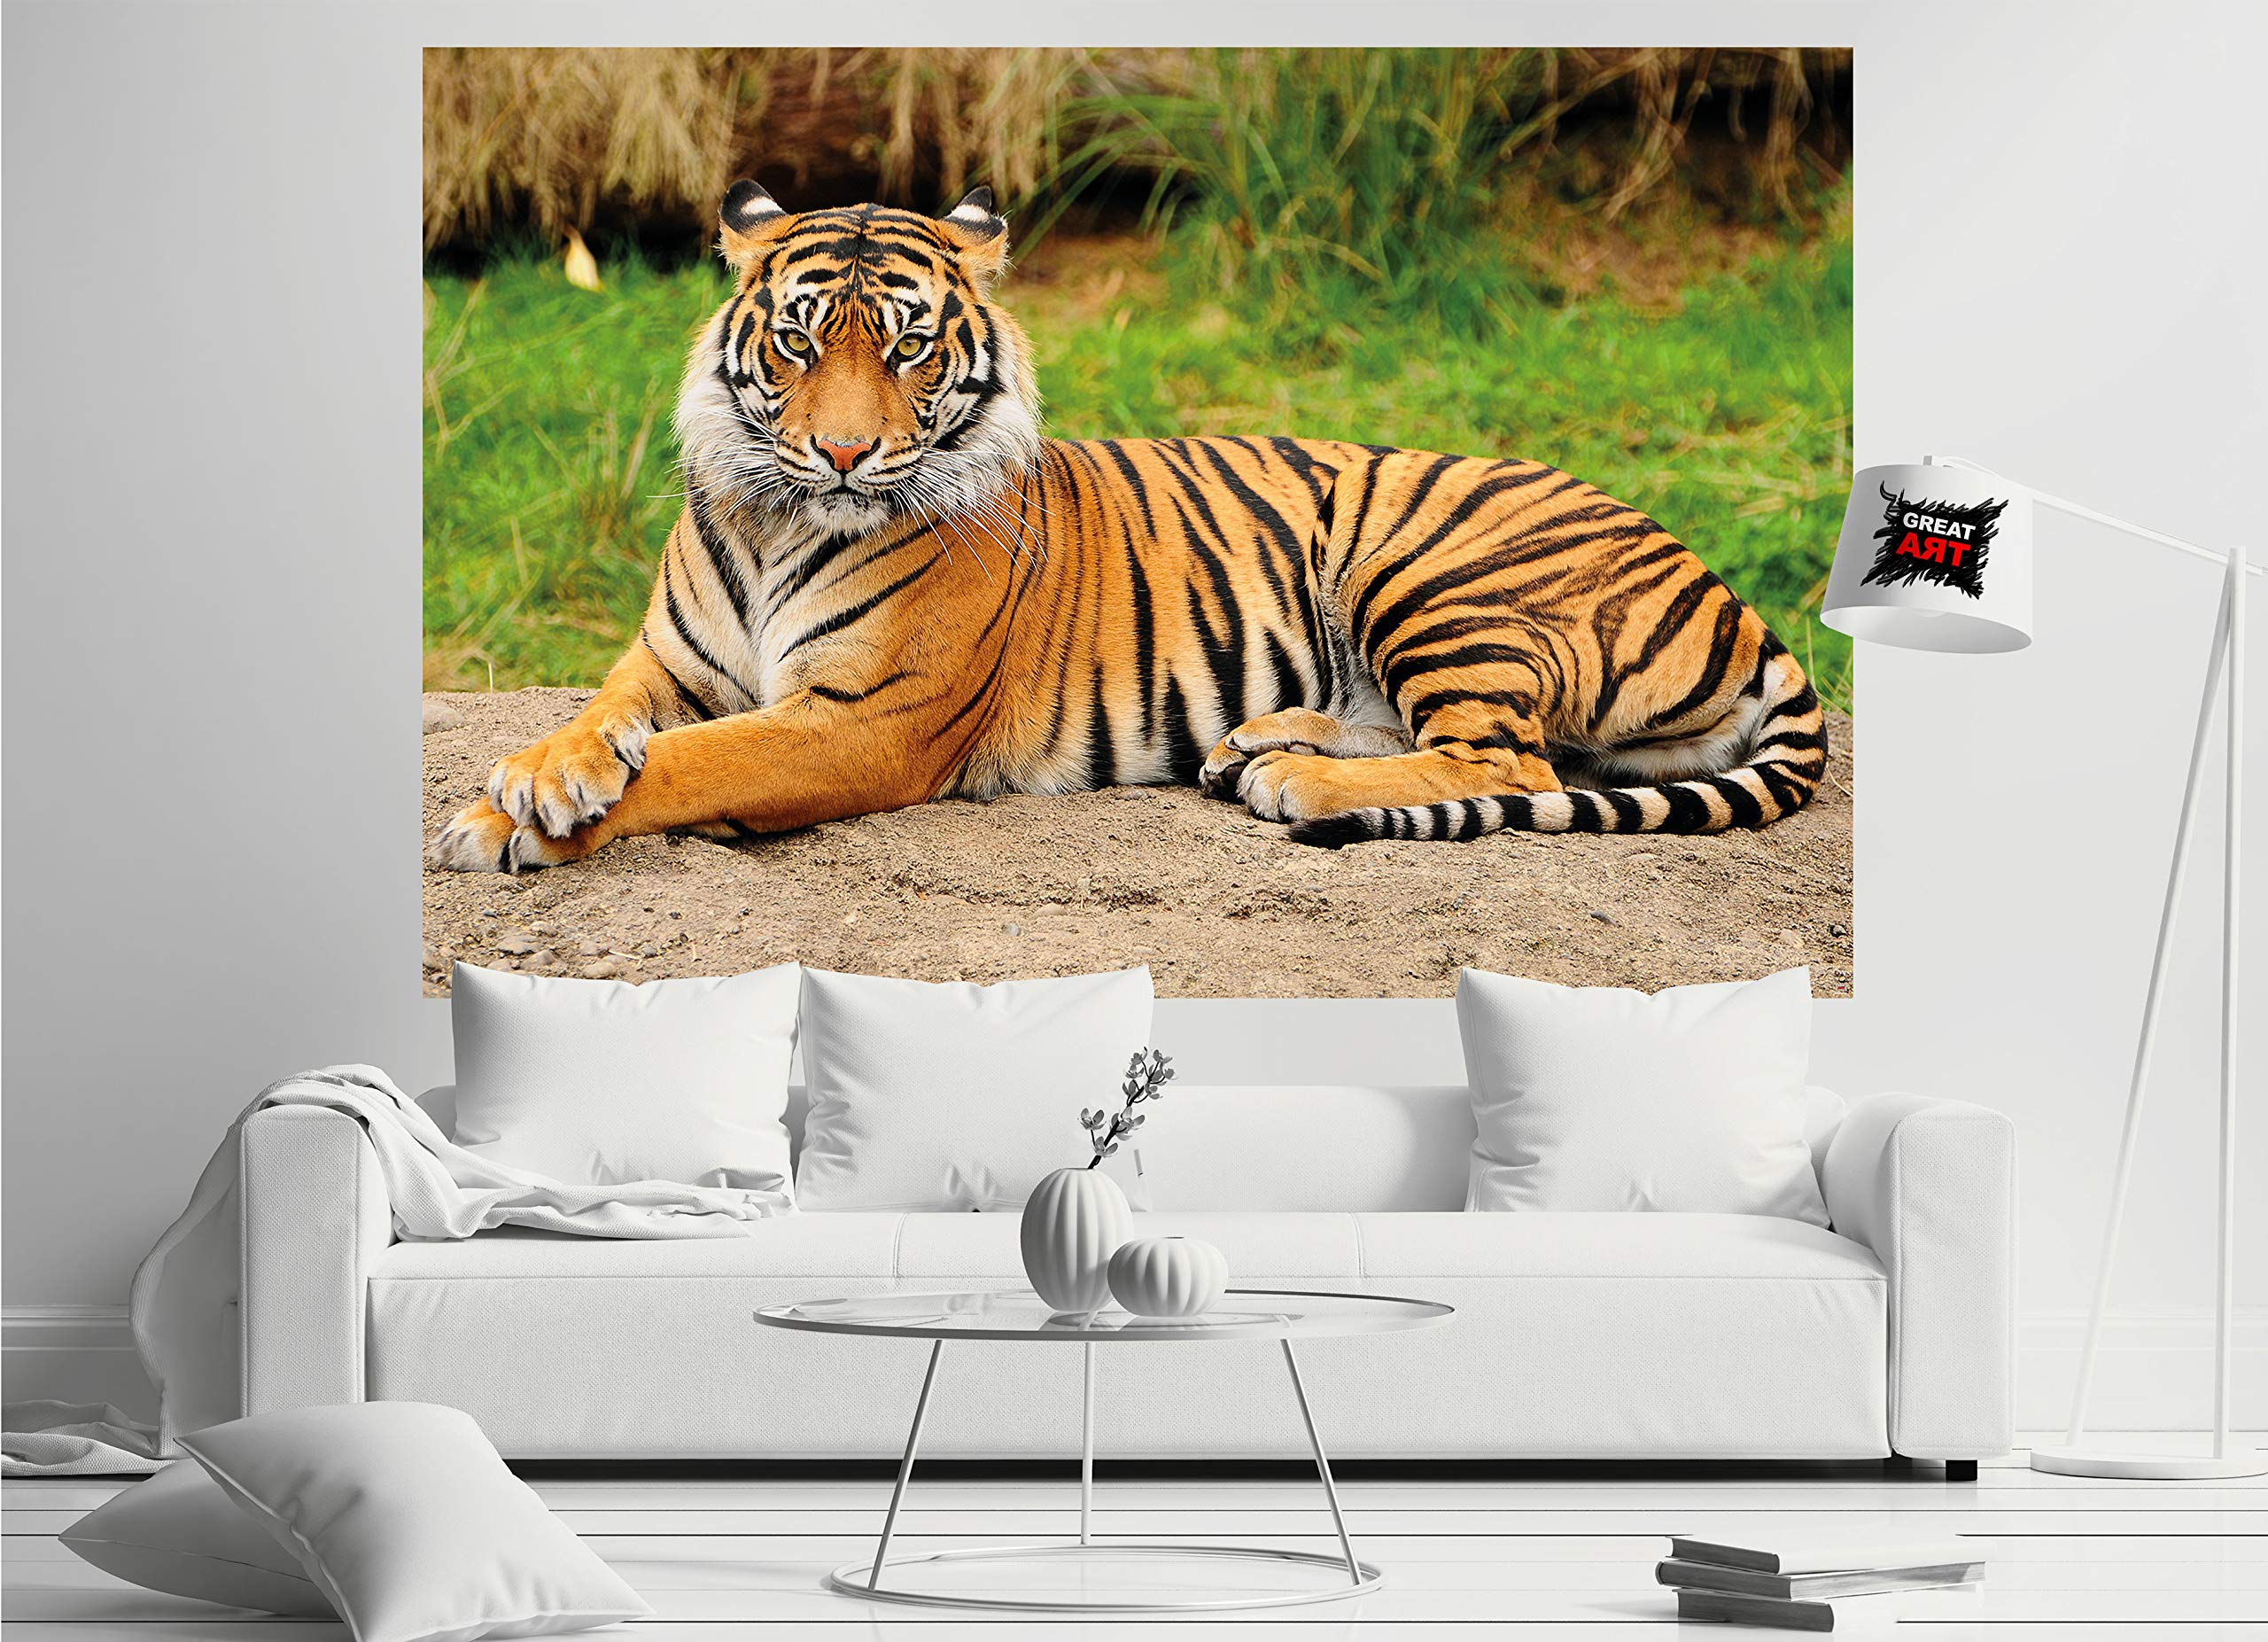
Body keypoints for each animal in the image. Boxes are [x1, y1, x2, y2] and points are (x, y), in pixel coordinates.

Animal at [429, 181, 1827, 873]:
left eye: (910, 348)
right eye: (798, 341)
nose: (842, 452)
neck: (779, 520)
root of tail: (1729, 589)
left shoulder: (862, 721)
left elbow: (694, 764)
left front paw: (509, 824)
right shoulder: (664, 662)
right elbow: (606, 721)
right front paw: (539, 776)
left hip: (1429, 565)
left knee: (1511, 761)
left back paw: (1296, 779)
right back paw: (1259, 742)